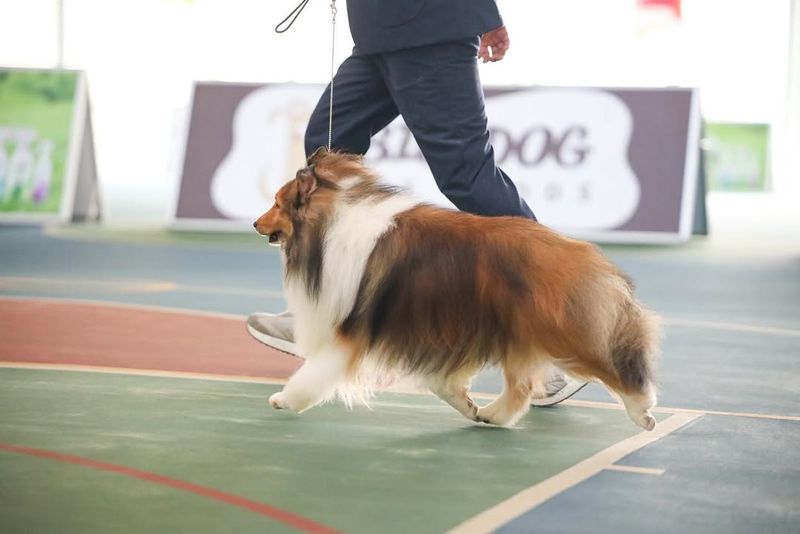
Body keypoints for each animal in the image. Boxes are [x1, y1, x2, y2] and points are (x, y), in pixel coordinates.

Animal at [253, 148, 660, 432]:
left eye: (276, 202)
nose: (256, 223)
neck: (332, 220)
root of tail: (581, 251)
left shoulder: (351, 331)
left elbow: (315, 373)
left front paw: (285, 399)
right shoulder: (449, 329)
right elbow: (442, 382)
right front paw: (465, 403)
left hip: (560, 333)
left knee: (613, 368)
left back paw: (642, 412)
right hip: (516, 333)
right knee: (521, 388)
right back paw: (492, 415)